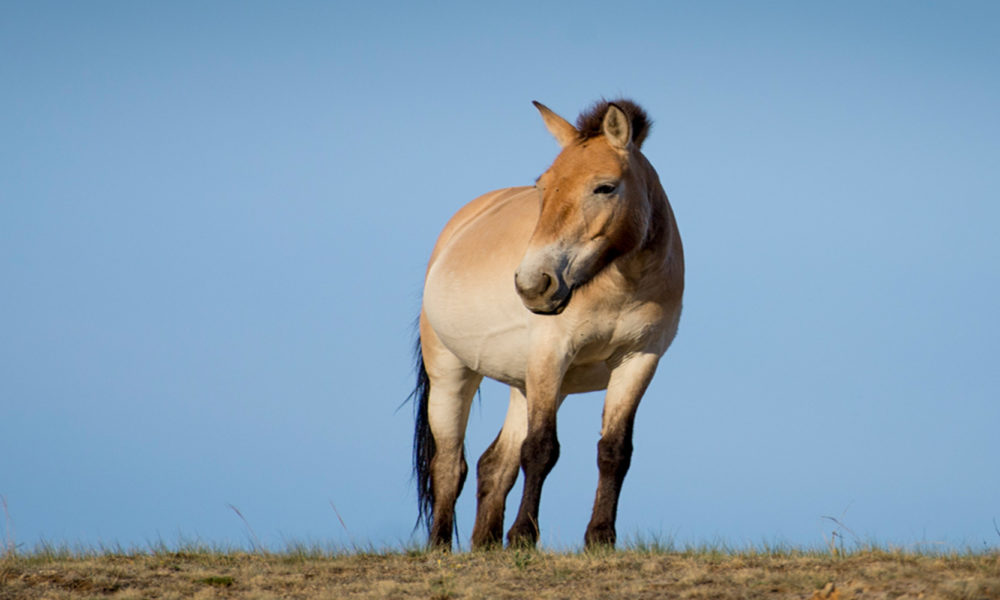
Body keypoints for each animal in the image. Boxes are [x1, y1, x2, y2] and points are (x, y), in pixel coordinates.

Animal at [410, 101, 684, 552]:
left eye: (605, 187)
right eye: (544, 186)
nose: (533, 285)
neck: (618, 283)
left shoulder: (639, 359)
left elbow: (614, 450)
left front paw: (600, 537)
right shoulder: (551, 354)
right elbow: (540, 449)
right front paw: (523, 535)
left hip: (524, 383)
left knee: (493, 465)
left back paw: (486, 544)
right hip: (451, 372)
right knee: (449, 465)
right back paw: (440, 547)